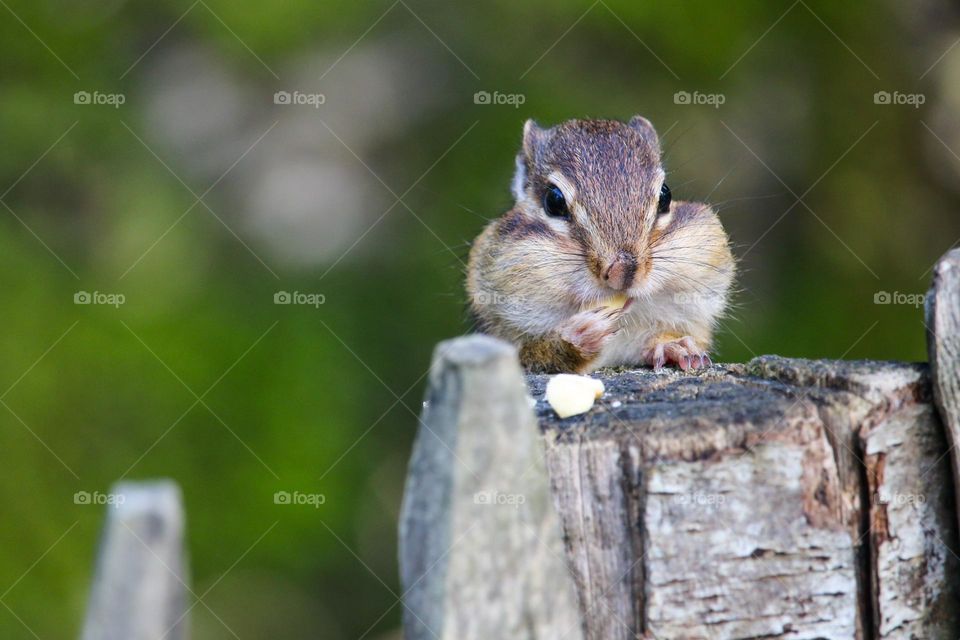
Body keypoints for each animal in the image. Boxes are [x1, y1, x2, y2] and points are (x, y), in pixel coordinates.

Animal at [466, 116, 735, 374]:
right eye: (553, 201)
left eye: (665, 195)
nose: (624, 270)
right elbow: (536, 355)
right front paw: (577, 336)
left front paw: (673, 345)